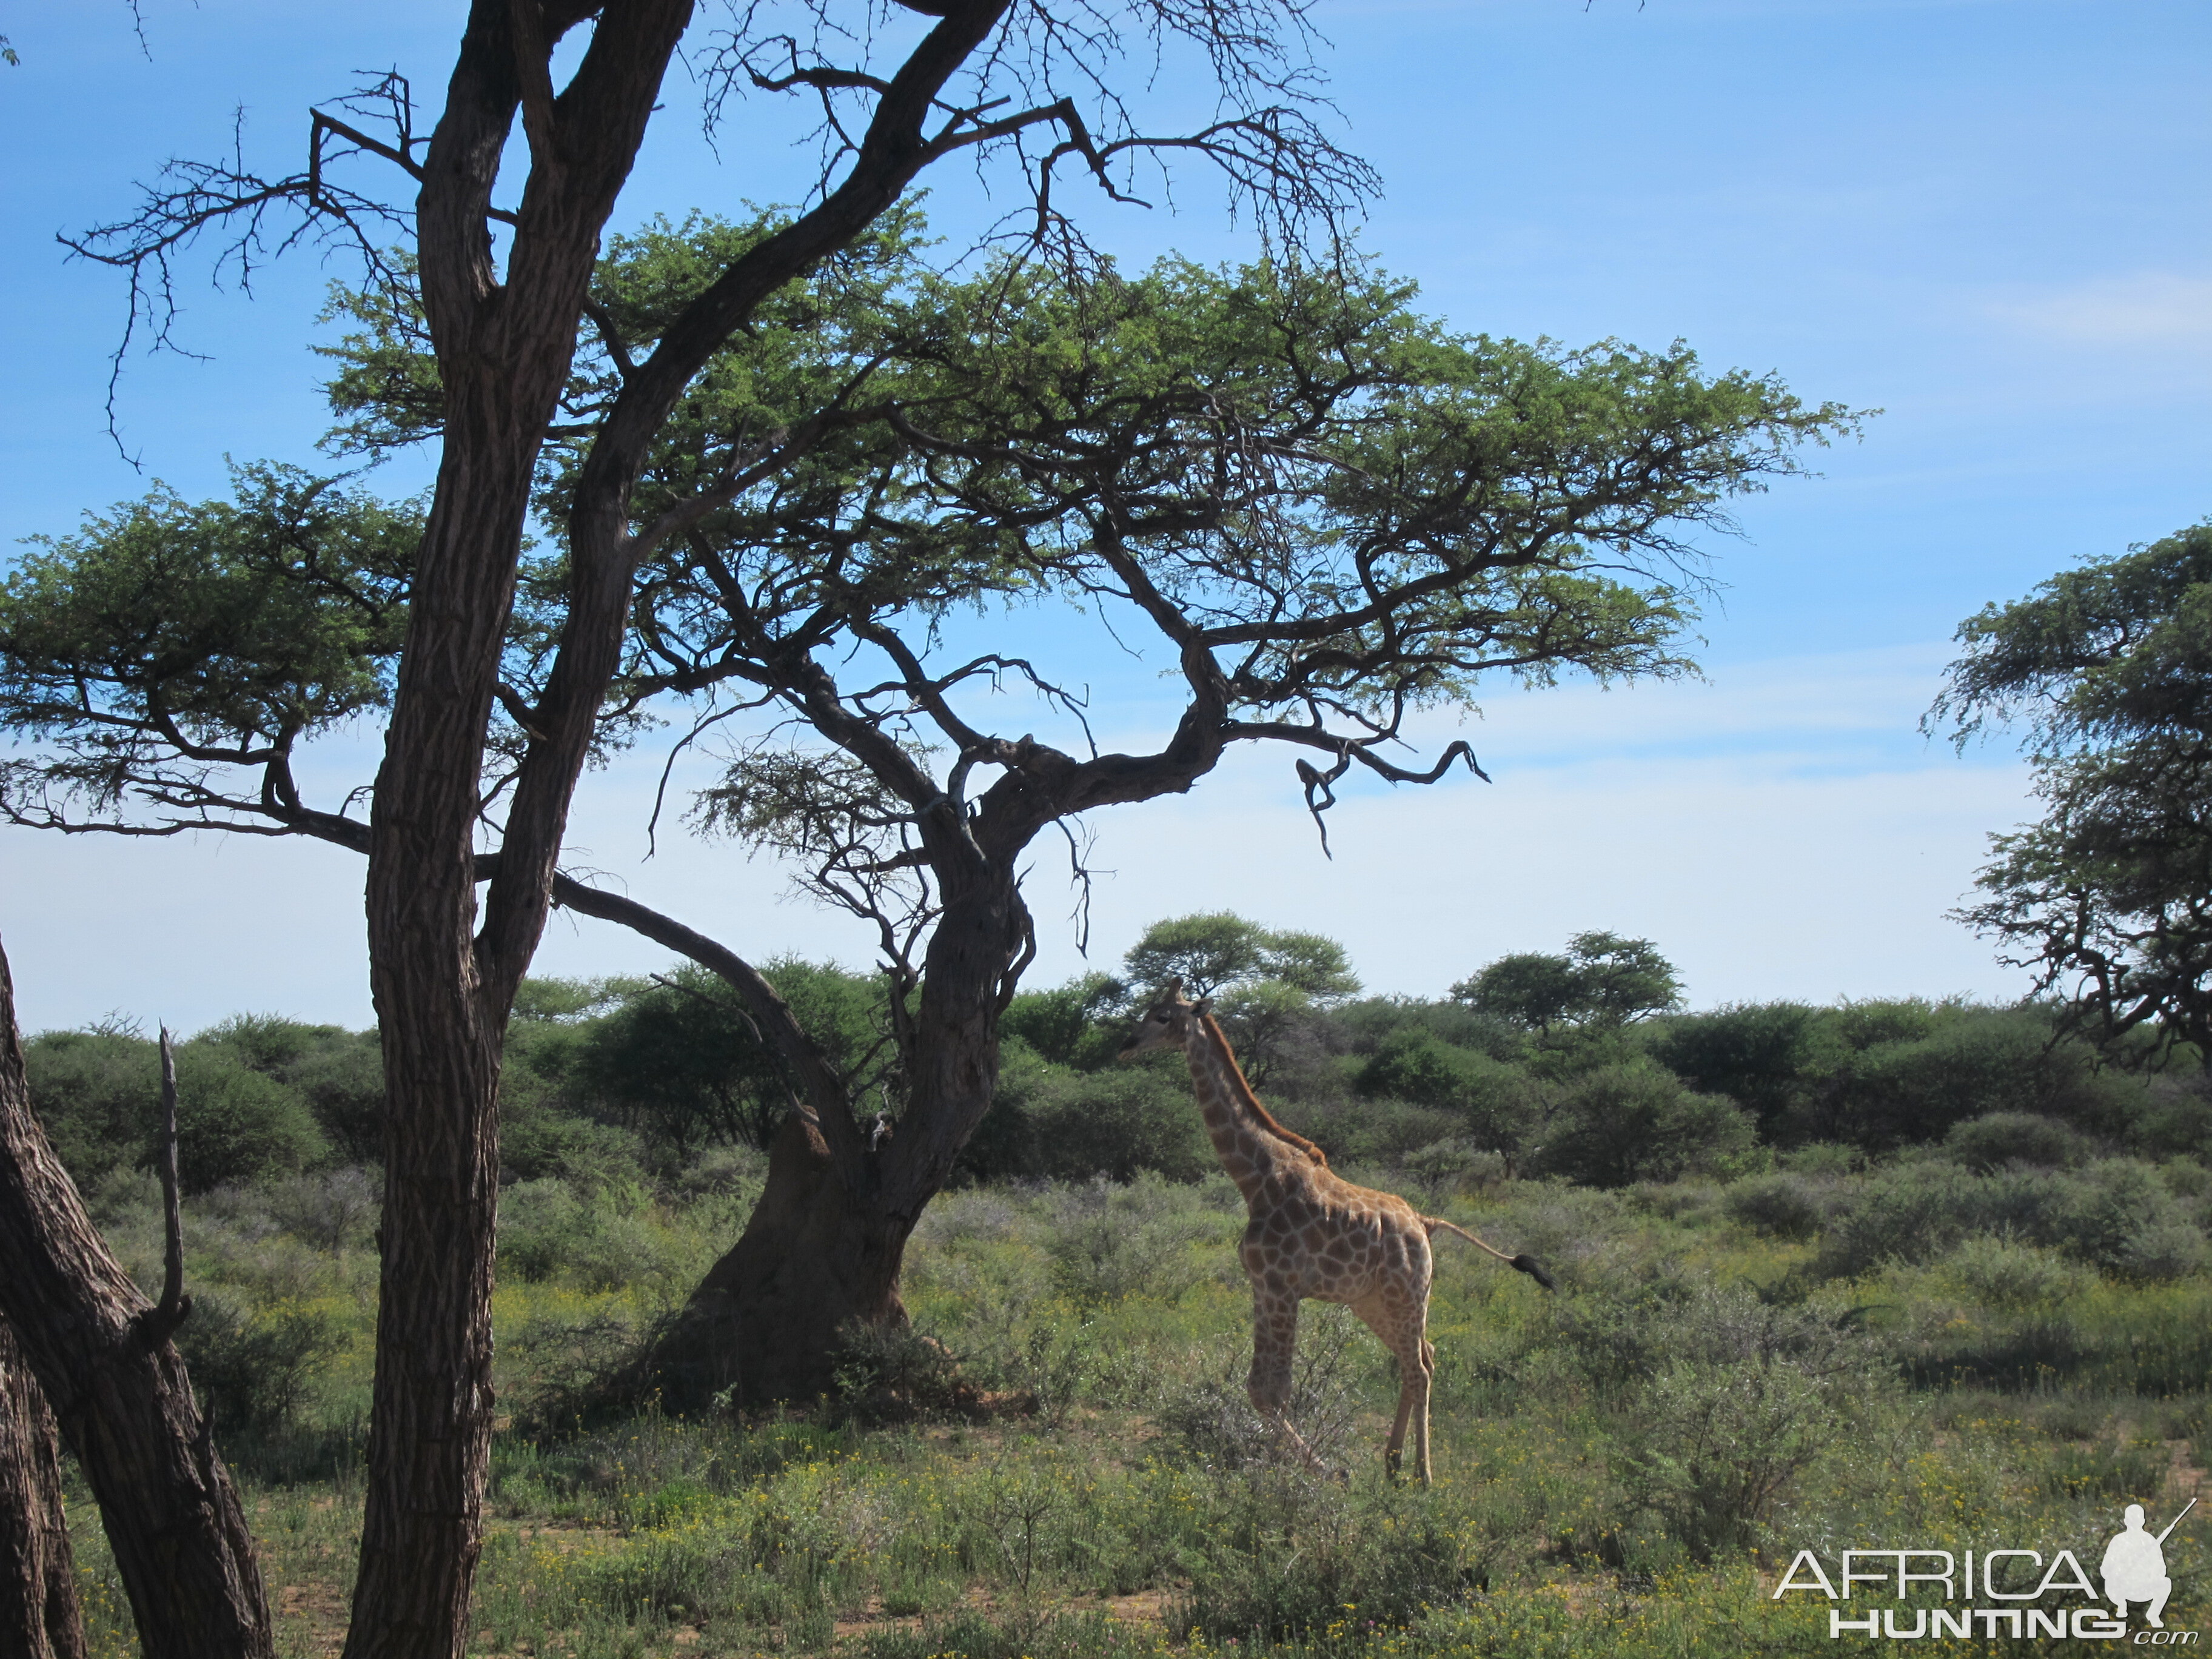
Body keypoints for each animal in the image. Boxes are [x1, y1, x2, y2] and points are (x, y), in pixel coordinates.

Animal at [1124, 982, 1557, 1486]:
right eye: (1149, 1010)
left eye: (1163, 1016)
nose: (1125, 1045)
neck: (1256, 1179)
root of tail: (1426, 1223)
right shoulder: (1262, 1286)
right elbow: (1257, 1387)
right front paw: (1282, 1466)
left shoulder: (1283, 1288)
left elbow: (1275, 1390)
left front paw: (1317, 1470)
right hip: (1374, 1301)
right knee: (1424, 1357)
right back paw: (1392, 1464)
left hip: (1407, 1295)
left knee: (1419, 1368)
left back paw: (1423, 1476)